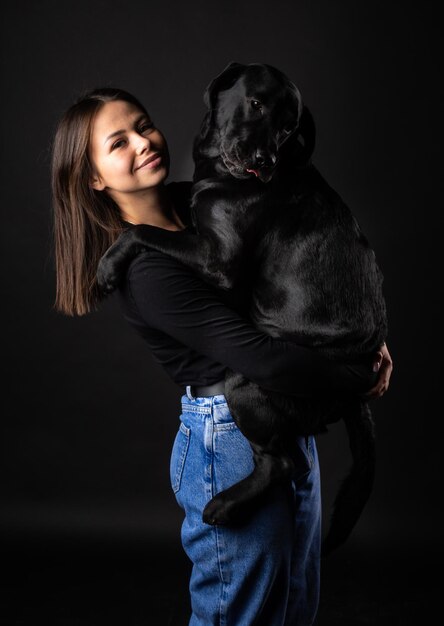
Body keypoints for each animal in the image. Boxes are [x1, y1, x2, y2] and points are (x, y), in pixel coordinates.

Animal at [96, 62, 386, 552]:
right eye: (256, 104)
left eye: (289, 127)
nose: (265, 161)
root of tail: (355, 393)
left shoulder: (218, 262)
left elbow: (141, 231)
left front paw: (109, 263)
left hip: (246, 384)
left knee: (283, 463)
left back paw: (227, 505)